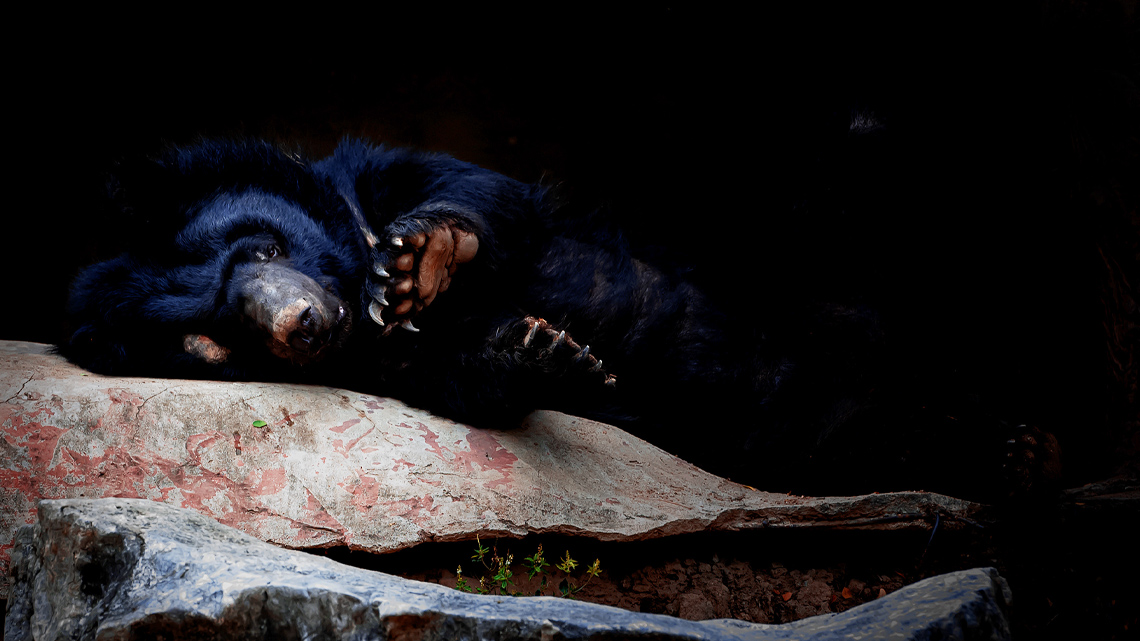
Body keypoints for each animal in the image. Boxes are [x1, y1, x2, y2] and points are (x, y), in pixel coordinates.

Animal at [60, 138, 1055, 499]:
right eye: (210, 341)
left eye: (263, 248)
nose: (305, 324)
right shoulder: (392, 366)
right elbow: (461, 377)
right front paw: (545, 353)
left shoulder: (372, 175)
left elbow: (474, 191)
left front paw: (418, 262)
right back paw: (1000, 450)